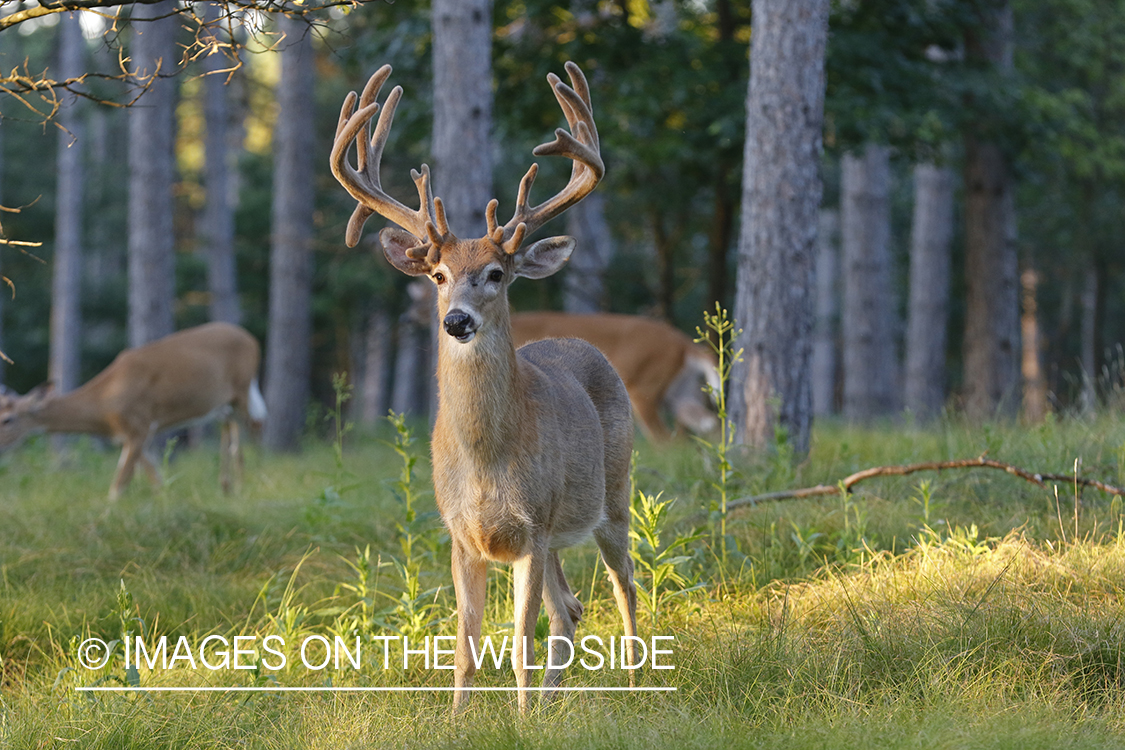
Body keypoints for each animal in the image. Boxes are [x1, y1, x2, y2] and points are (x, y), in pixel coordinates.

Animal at [0, 321, 265, 499]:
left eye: (7, 420)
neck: (104, 403)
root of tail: (250, 337)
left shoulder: (139, 426)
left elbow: (118, 485)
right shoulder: (130, 435)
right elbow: (155, 477)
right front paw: (166, 501)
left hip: (242, 389)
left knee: (255, 427)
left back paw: (252, 484)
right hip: (222, 404)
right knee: (231, 432)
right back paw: (227, 487)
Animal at [328, 62, 639, 710]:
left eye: (496, 274)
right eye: (438, 275)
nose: (456, 320)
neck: (485, 459)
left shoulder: (533, 529)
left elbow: (519, 644)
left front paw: (518, 719)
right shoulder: (461, 535)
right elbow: (466, 649)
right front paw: (461, 719)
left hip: (613, 494)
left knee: (625, 584)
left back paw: (634, 682)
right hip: (558, 533)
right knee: (571, 609)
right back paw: (553, 702)